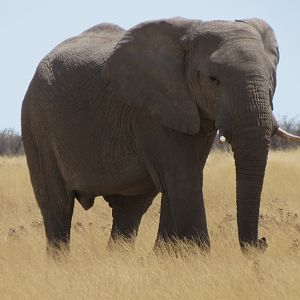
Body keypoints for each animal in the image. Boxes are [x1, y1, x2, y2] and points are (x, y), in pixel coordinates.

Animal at [21, 16, 298, 253]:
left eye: (272, 76)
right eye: (213, 78)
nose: (262, 243)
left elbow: (181, 177)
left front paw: (168, 256)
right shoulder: (149, 109)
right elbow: (183, 176)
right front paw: (195, 256)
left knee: (130, 209)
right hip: (36, 122)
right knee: (57, 206)